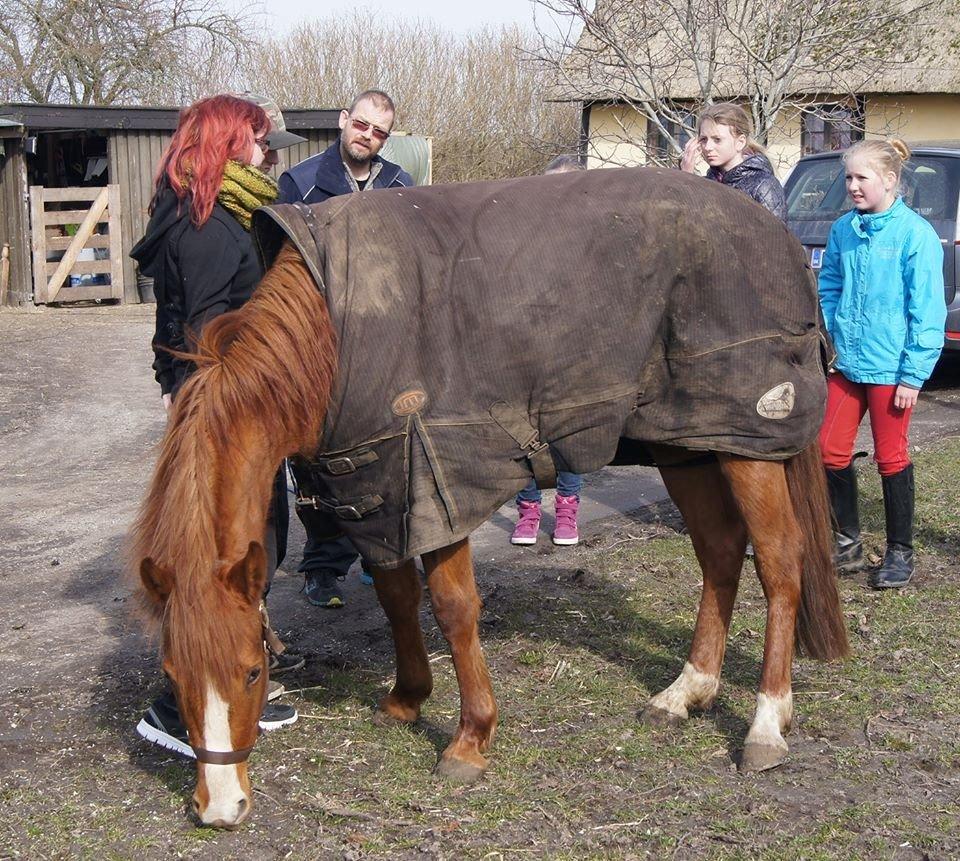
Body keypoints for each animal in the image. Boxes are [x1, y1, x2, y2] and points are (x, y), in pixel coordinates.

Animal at [129, 242, 848, 828]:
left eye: (253, 671)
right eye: (172, 673)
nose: (220, 808)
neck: (329, 330)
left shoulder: (435, 477)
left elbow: (452, 608)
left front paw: (470, 739)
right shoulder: (379, 490)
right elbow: (396, 597)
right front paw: (407, 699)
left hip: (748, 444)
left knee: (779, 563)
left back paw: (766, 724)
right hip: (690, 445)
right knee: (720, 552)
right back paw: (687, 691)